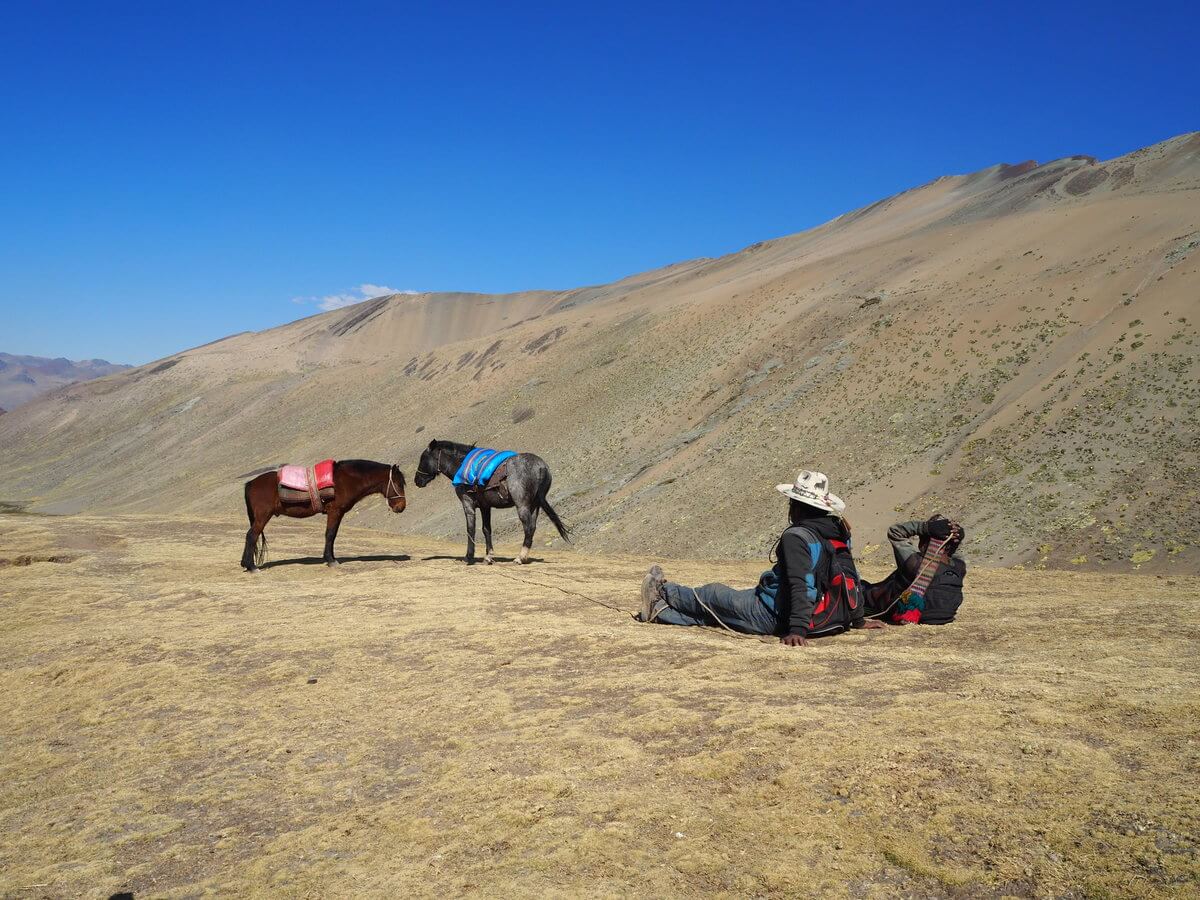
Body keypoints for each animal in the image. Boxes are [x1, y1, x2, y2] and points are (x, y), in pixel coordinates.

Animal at [241, 465, 405, 571]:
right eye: (398, 483)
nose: (401, 507)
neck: (345, 480)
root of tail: (251, 483)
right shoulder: (335, 511)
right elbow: (330, 534)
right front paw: (331, 560)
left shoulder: (337, 513)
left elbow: (332, 535)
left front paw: (330, 557)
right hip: (263, 517)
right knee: (251, 536)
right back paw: (252, 567)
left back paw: (245, 563)